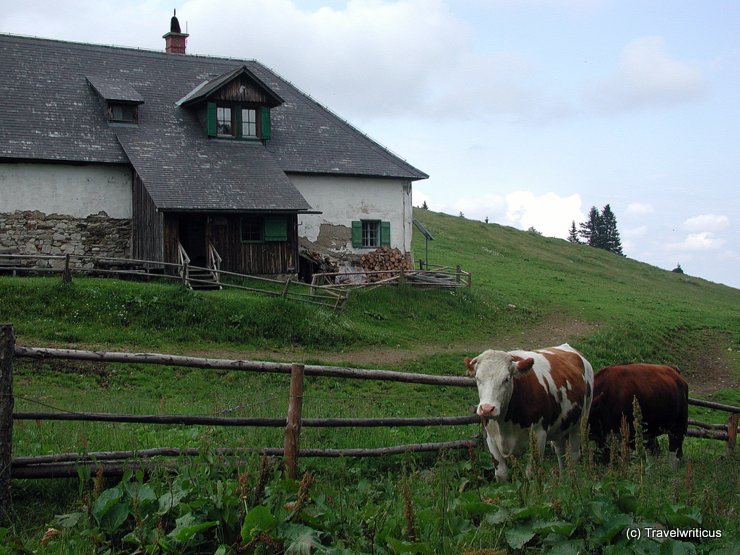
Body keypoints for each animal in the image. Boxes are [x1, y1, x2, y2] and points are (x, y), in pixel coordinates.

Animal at [466, 344, 592, 482]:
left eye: (506, 379)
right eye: (477, 378)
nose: (487, 409)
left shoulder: (539, 435)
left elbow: (531, 473)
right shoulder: (491, 437)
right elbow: (501, 474)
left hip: (580, 421)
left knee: (574, 455)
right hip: (559, 427)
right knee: (561, 452)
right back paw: (563, 481)